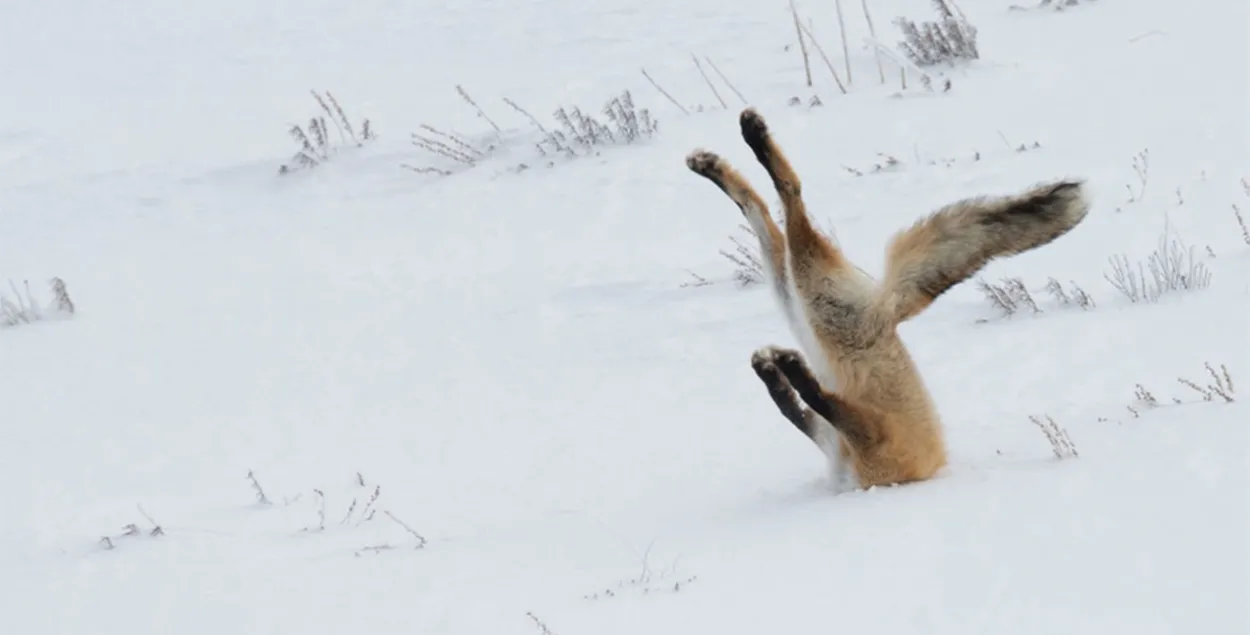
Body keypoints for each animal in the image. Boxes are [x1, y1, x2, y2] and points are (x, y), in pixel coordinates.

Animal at [690, 106, 1090, 487]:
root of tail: (889, 308)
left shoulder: (869, 437)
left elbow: (811, 399)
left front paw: (785, 369)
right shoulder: (840, 436)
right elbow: (794, 405)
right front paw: (775, 369)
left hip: (810, 295)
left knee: (790, 196)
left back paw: (751, 139)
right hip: (798, 297)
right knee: (762, 210)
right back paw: (715, 163)